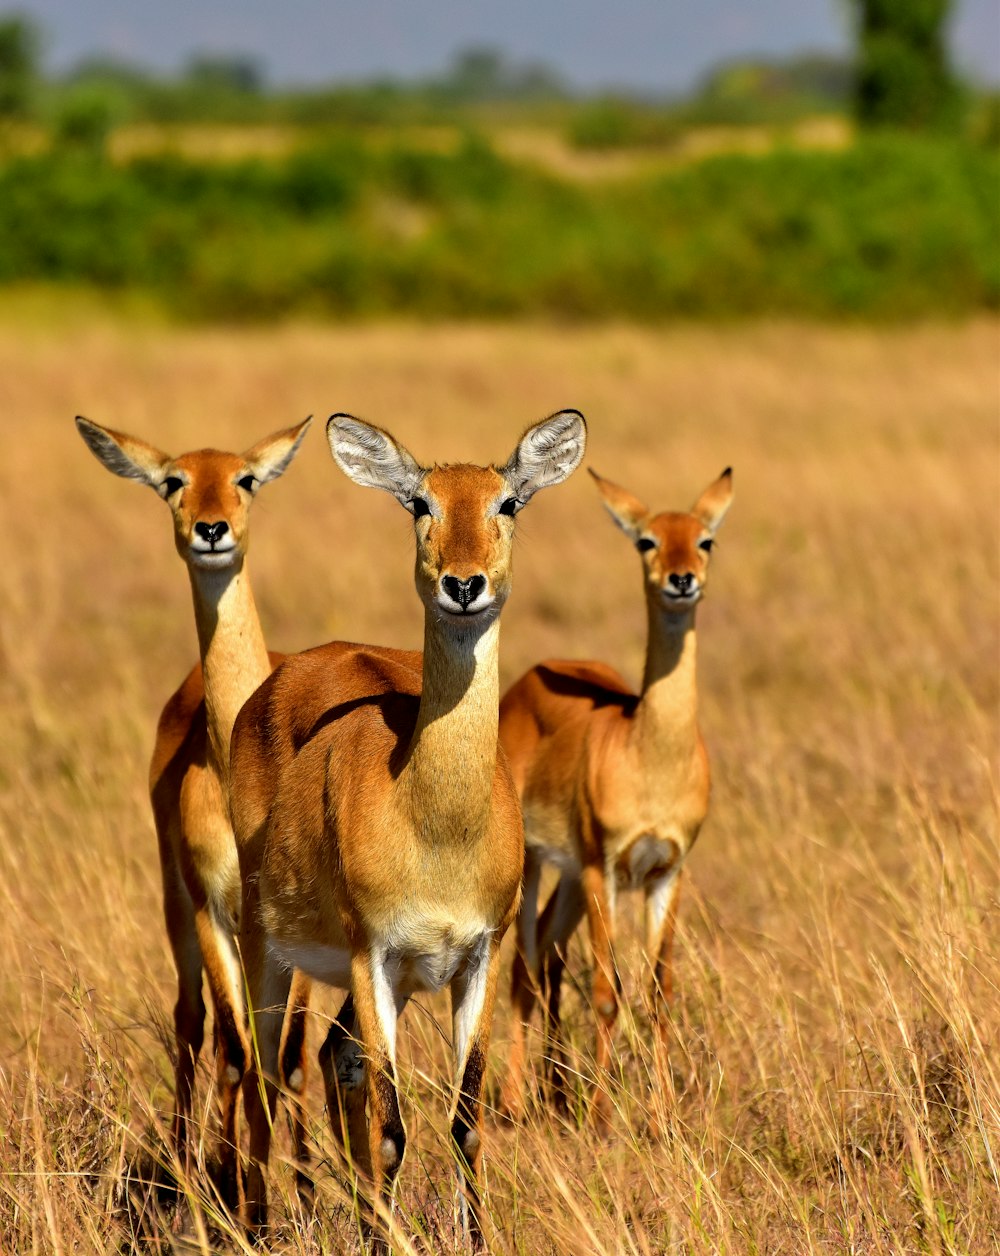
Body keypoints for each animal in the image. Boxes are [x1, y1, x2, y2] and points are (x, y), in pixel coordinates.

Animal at [75, 419, 312, 1205]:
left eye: (245, 478)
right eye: (174, 480)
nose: (211, 529)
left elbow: (285, 1054)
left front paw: (292, 1190)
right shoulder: (211, 906)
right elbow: (237, 1051)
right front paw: (240, 1190)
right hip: (176, 905)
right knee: (192, 1022)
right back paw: (189, 1165)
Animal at [226, 406, 585, 1240]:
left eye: (508, 502)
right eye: (420, 502)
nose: (464, 583)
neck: (437, 826)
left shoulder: (477, 958)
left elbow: (467, 1123)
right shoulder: (376, 956)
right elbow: (392, 1128)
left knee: (331, 1058)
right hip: (269, 948)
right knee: (265, 1073)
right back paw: (258, 1224)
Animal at [494, 464, 728, 1130]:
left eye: (705, 539)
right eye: (646, 540)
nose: (681, 580)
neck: (649, 756)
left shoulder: (666, 872)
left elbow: (658, 993)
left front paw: (663, 1114)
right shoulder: (606, 866)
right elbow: (605, 991)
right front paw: (601, 1116)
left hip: (571, 878)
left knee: (548, 954)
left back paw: (554, 1091)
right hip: (537, 866)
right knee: (522, 967)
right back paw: (516, 1104)